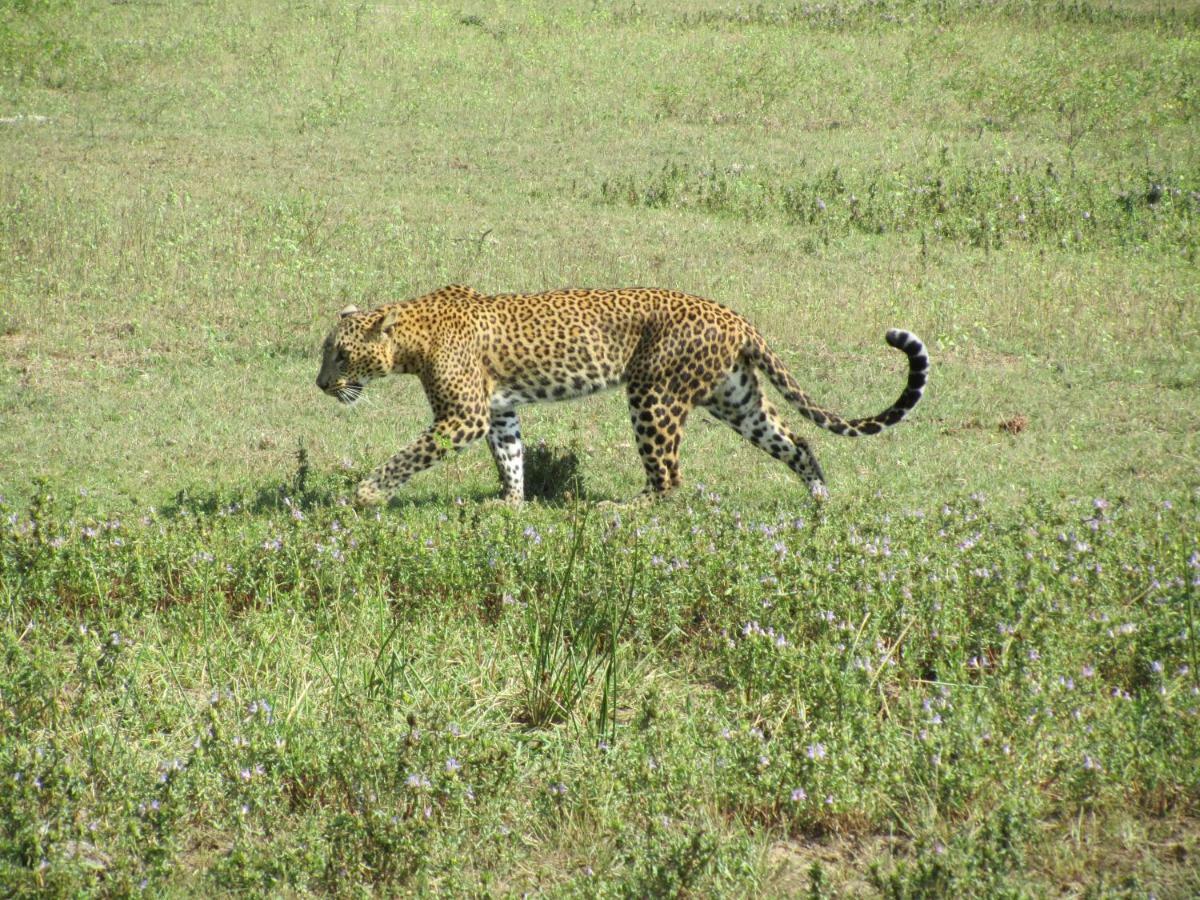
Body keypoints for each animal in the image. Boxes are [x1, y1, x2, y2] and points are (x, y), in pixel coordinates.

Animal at [312, 283, 926, 508]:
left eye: (339, 355)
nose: (320, 384)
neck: (412, 338)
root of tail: (736, 316)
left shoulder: (462, 416)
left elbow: (406, 457)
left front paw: (365, 493)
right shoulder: (499, 411)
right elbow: (510, 458)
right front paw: (510, 504)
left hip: (653, 395)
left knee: (670, 478)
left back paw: (623, 509)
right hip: (735, 398)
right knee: (796, 440)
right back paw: (819, 500)